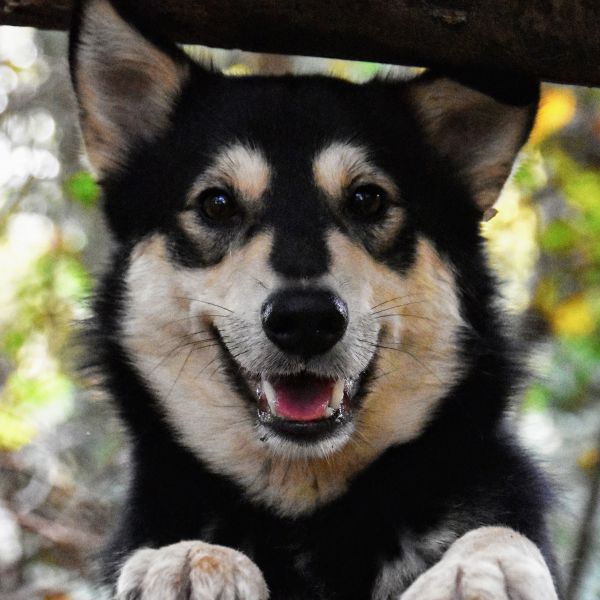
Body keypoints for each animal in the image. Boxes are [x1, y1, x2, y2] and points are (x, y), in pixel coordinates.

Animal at [70, 2, 564, 596]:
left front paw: (480, 565)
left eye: (368, 199)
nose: (305, 320)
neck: (309, 522)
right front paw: (188, 557)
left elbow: (499, 532)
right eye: (216, 204)